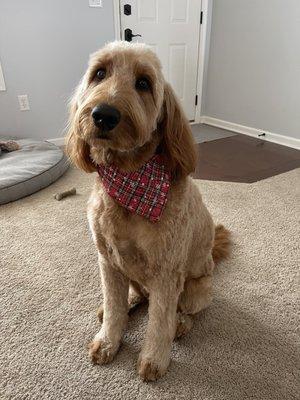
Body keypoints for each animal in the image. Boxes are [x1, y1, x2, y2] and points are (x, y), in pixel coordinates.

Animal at [66, 40, 230, 382]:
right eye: (99, 73)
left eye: (143, 83)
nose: (103, 115)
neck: (129, 181)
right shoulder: (107, 261)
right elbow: (114, 309)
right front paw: (108, 340)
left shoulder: (166, 273)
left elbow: (159, 322)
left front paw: (154, 359)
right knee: (137, 295)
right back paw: (123, 303)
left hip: (197, 288)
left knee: (184, 312)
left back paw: (180, 324)